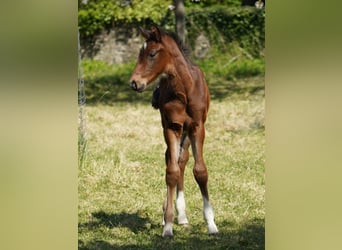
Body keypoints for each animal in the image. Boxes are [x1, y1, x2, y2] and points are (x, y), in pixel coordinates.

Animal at [130, 24, 218, 237]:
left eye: (152, 54)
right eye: (139, 53)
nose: (134, 83)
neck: (185, 88)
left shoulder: (197, 127)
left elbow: (200, 171)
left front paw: (211, 223)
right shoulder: (172, 127)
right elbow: (171, 171)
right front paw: (168, 224)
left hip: (186, 133)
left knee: (182, 159)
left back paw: (183, 215)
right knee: (172, 160)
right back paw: (171, 214)